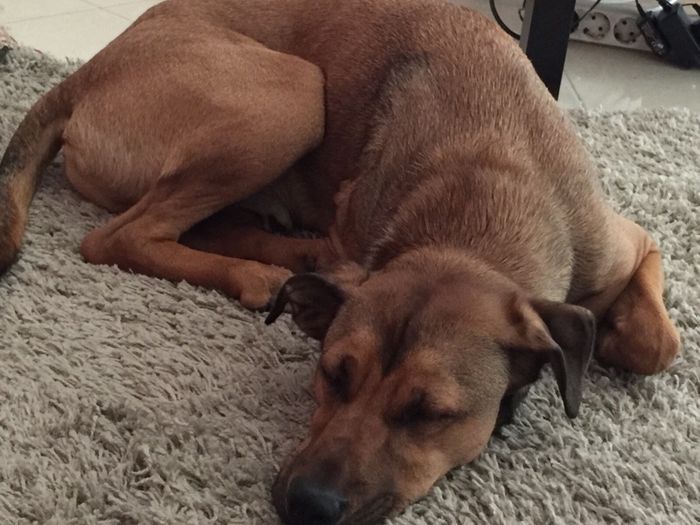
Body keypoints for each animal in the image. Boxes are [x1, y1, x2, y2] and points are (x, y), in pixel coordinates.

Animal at [0, 0, 681, 523]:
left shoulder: (630, 241)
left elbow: (659, 344)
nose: (309, 504)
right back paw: (264, 273)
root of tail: (84, 74)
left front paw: (617, 335)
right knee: (117, 238)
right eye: (333, 373)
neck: (480, 190)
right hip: (293, 94)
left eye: (429, 414)